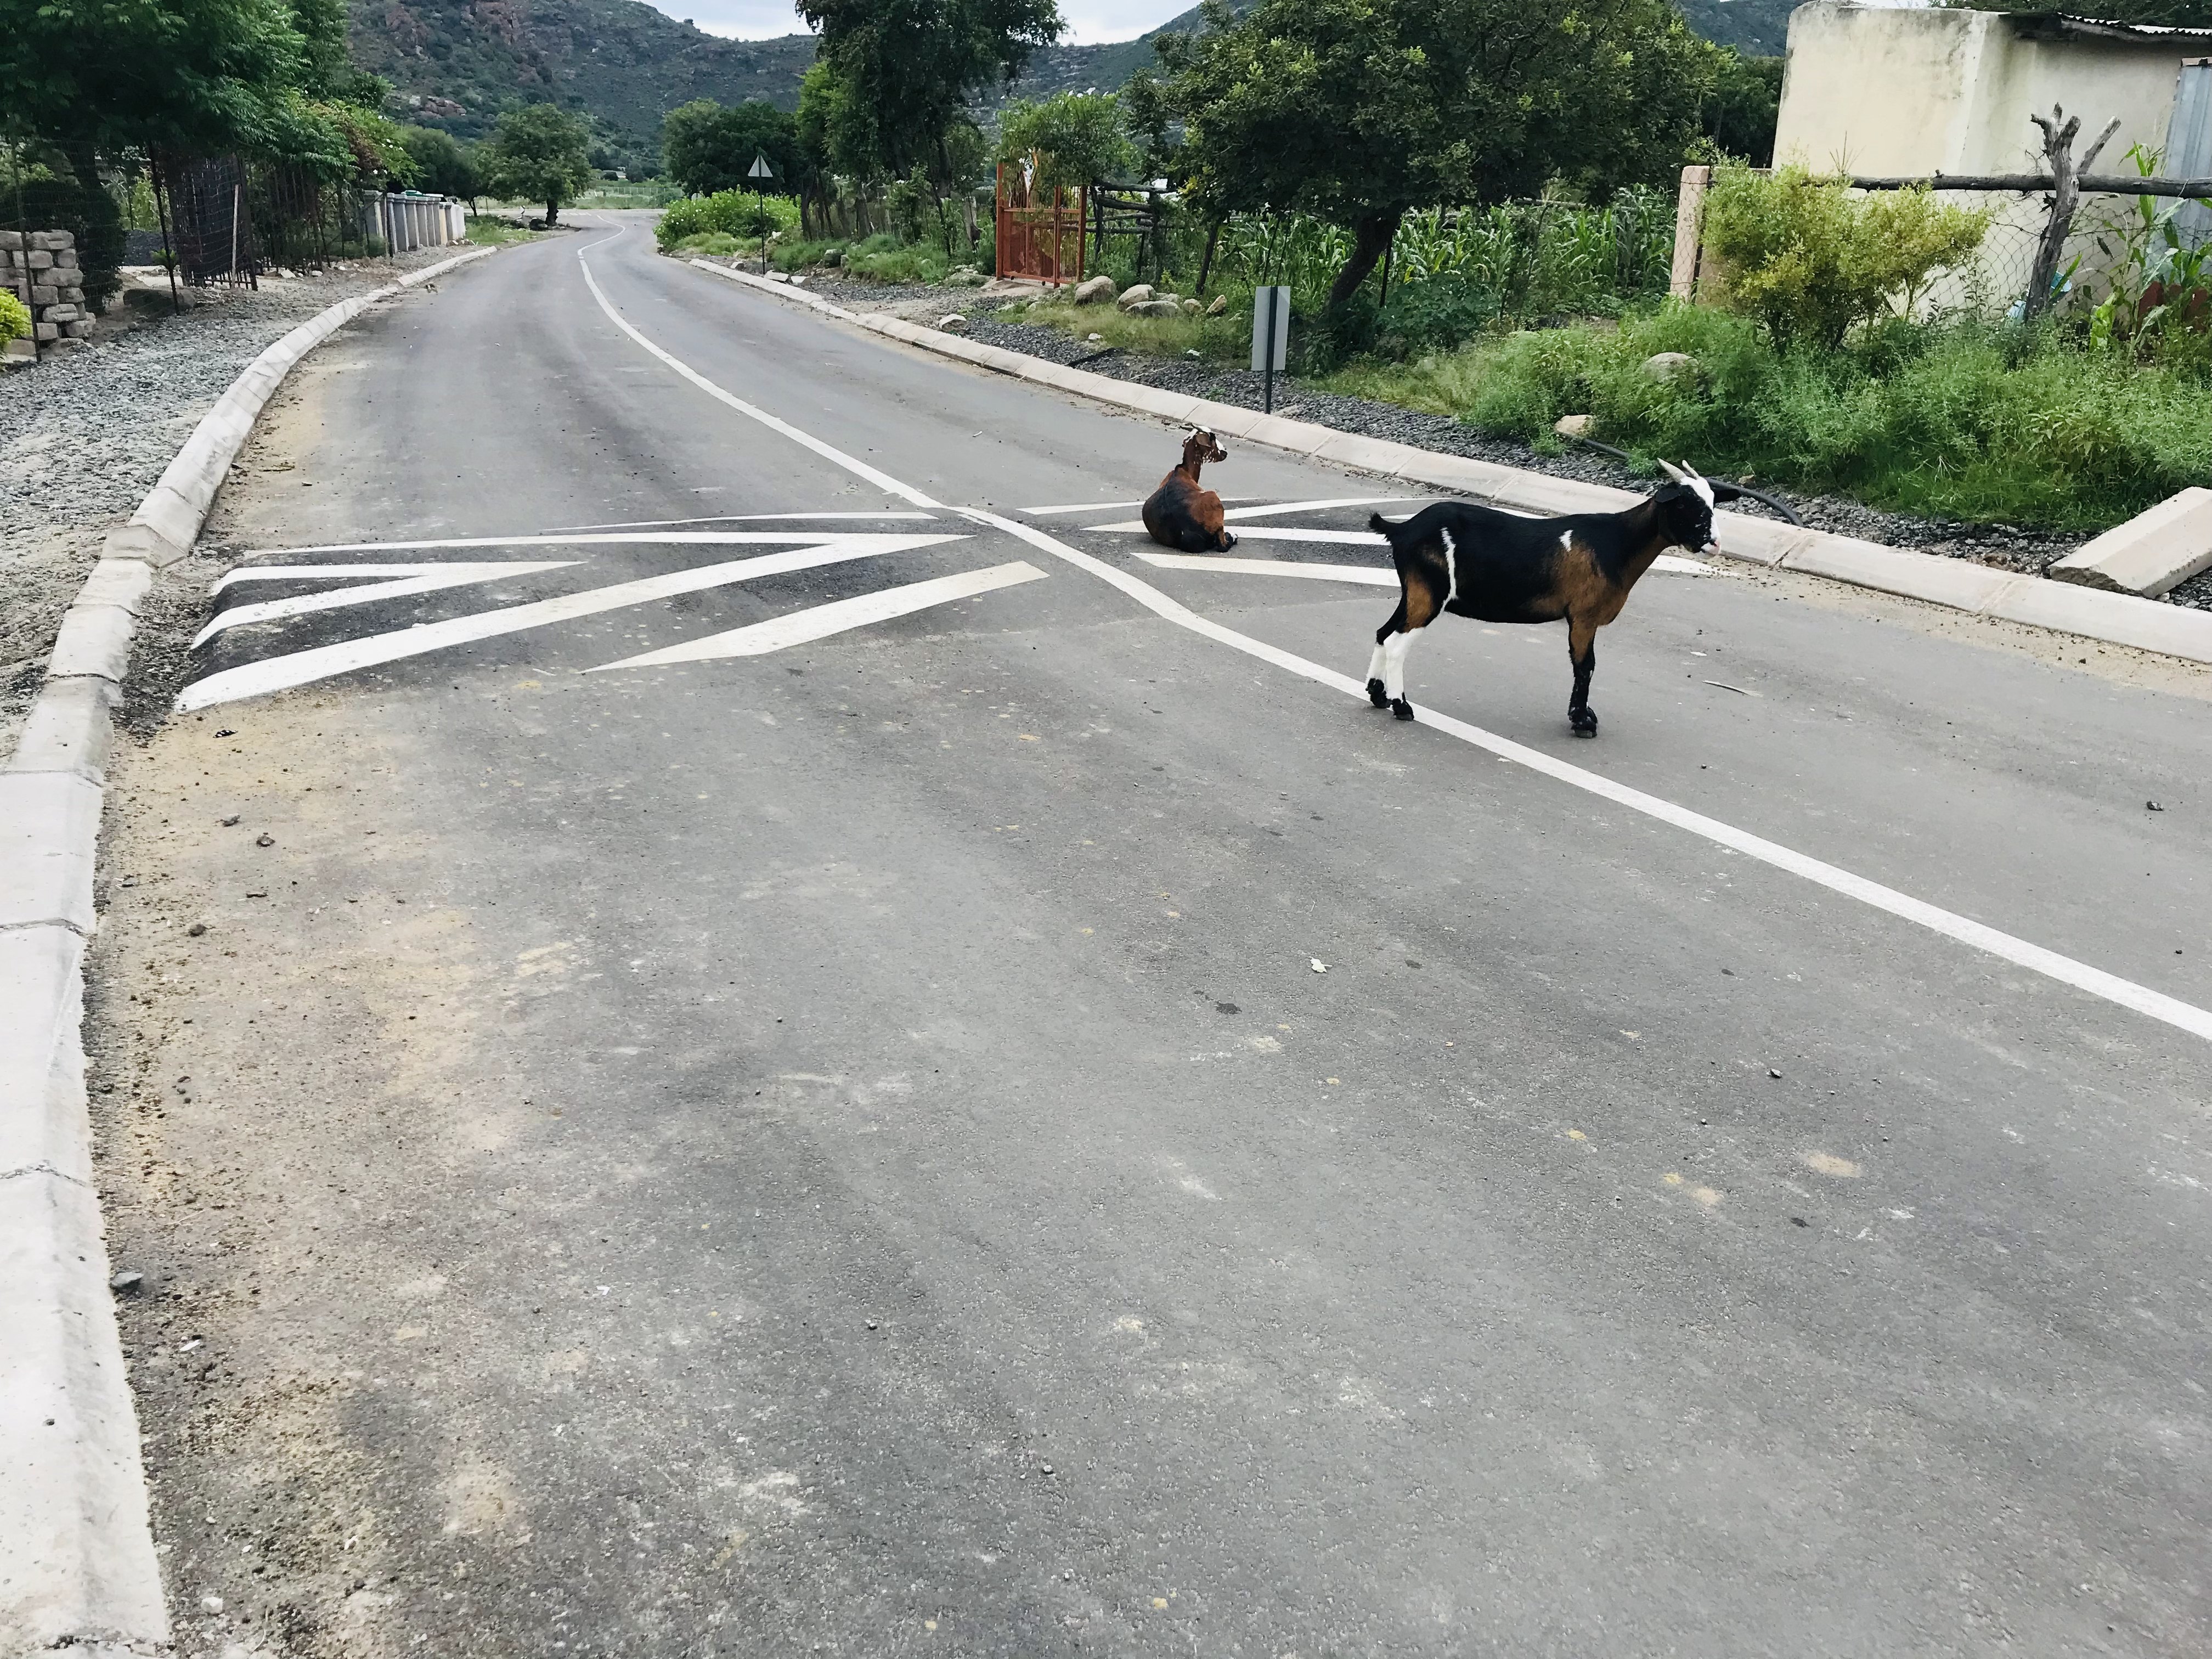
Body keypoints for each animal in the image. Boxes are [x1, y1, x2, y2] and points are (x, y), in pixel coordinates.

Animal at [1364, 462, 1741, 737]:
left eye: (1713, 504)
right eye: (1685, 504)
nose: (1715, 544)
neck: (1615, 544)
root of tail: (1401, 530)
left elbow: (1584, 665)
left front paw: (1585, 716)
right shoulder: (1584, 616)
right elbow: (1585, 666)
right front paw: (1583, 722)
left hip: (1413, 592)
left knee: (1384, 632)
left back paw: (1378, 695)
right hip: (1429, 592)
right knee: (1397, 642)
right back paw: (1402, 707)